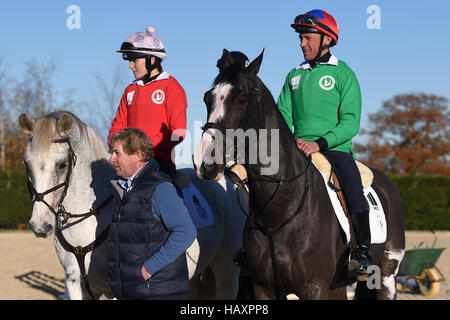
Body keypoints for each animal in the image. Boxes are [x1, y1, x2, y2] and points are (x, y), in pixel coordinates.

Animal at [18, 110, 246, 300]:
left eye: (61, 165)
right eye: (26, 163)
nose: (39, 225)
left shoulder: (115, 288)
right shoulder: (75, 282)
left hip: (226, 268)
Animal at [192, 49, 404, 300]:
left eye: (241, 98)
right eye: (208, 98)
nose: (204, 160)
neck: (280, 207)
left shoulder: (314, 288)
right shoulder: (263, 287)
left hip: (386, 275)